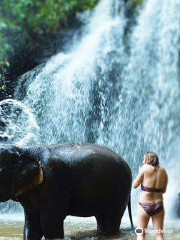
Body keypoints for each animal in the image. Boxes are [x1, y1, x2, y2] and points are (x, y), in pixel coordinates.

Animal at [0, 143, 134, 239]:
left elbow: (49, 222)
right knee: (101, 217)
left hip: (121, 188)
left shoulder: (53, 183)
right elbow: (32, 224)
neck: (25, 149)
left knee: (113, 217)